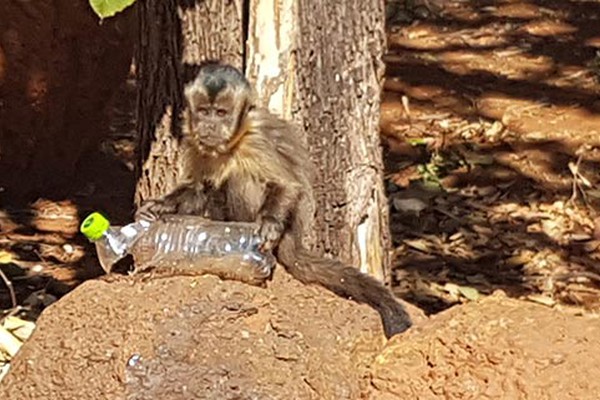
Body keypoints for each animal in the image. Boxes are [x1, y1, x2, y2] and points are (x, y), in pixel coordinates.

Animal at [135, 61, 412, 338]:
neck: (233, 142)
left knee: (240, 178)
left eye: (221, 113)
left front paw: (268, 225)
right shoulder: (193, 139)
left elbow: (286, 185)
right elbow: (198, 187)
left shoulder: (256, 138)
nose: (210, 126)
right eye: (204, 111)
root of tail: (294, 237)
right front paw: (160, 206)